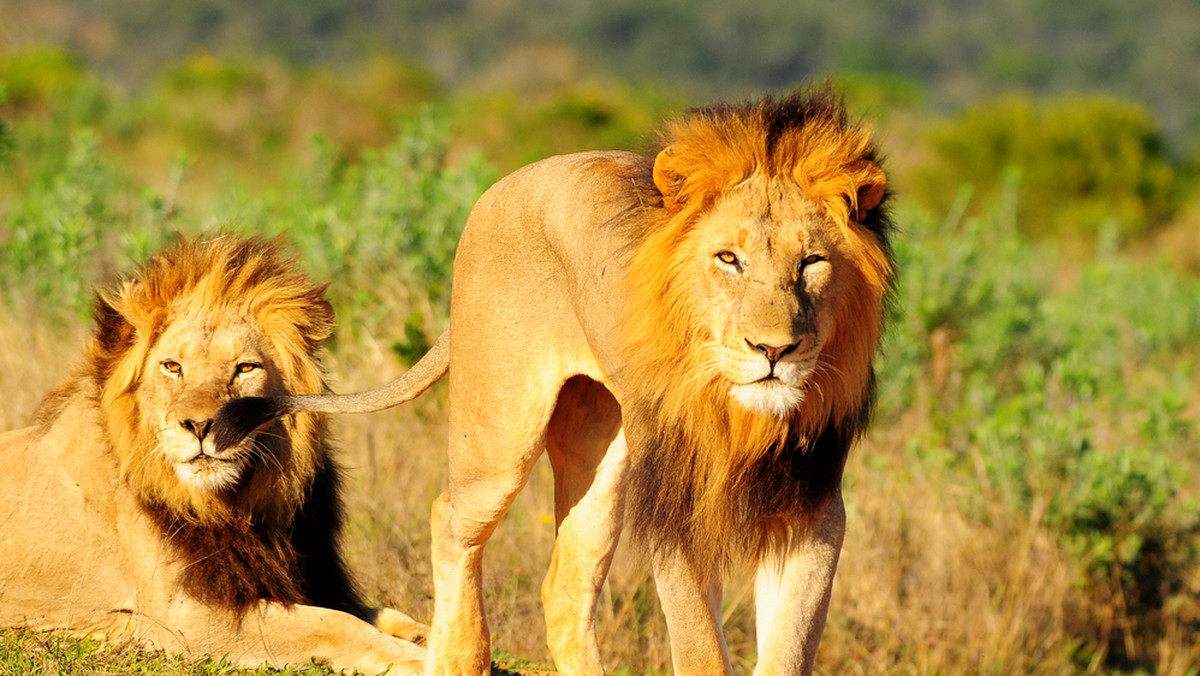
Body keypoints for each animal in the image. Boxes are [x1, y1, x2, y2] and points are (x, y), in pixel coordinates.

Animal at [0, 235, 427, 672]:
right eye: (172, 366)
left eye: (245, 368)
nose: (202, 426)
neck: (234, 505)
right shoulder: (181, 618)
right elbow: (334, 624)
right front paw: (425, 657)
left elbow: (378, 613)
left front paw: (426, 635)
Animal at [216, 87, 897, 672]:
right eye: (729, 259)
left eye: (811, 263)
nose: (774, 349)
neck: (744, 418)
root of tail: (500, 185)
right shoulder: (674, 511)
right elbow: (701, 648)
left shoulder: (811, 508)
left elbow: (790, 649)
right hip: (500, 434)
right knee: (451, 517)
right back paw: (458, 657)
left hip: (603, 451)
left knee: (564, 592)